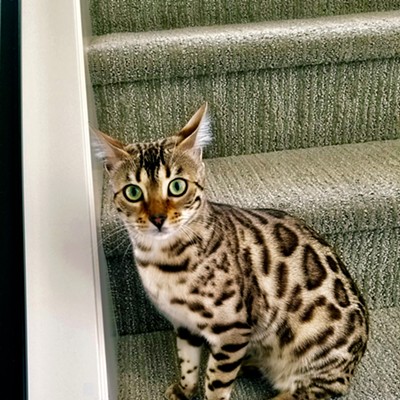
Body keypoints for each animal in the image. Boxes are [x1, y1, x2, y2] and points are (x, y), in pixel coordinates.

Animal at [94, 104, 368, 400]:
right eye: (133, 192)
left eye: (177, 186)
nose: (157, 219)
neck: (162, 263)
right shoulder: (184, 324)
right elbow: (187, 362)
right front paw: (184, 390)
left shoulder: (232, 330)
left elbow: (216, 383)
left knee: (311, 392)